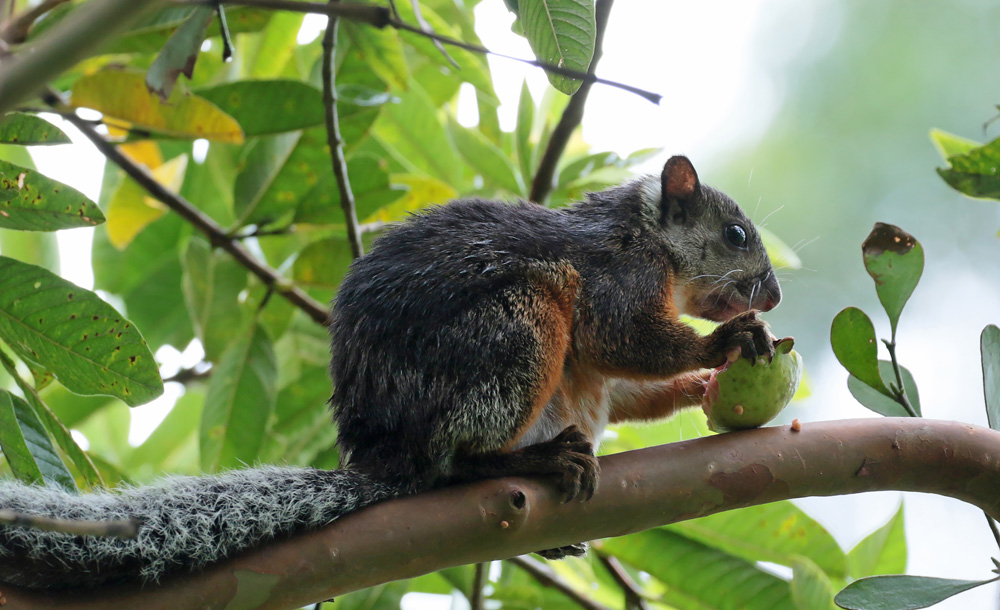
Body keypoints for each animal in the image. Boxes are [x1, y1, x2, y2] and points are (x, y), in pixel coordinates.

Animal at [0, 154, 780, 588]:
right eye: (736, 234)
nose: (771, 294)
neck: (649, 238)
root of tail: (385, 457)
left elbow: (626, 388)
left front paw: (705, 386)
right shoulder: (615, 273)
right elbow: (625, 338)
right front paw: (722, 345)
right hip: (512, 333)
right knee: (454, 461)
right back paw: (525, 464)